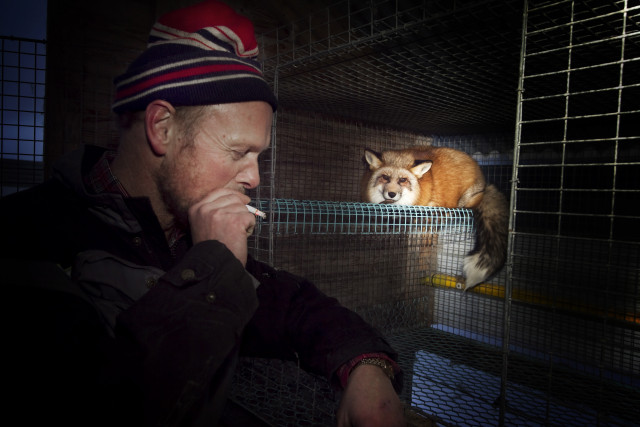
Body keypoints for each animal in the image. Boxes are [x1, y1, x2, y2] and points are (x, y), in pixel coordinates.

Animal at [361, 146, 509, 291]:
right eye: (385, 177)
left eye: (402, 180)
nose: (391, 194)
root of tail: (485, 184)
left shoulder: (432, 211)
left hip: (468, 198)